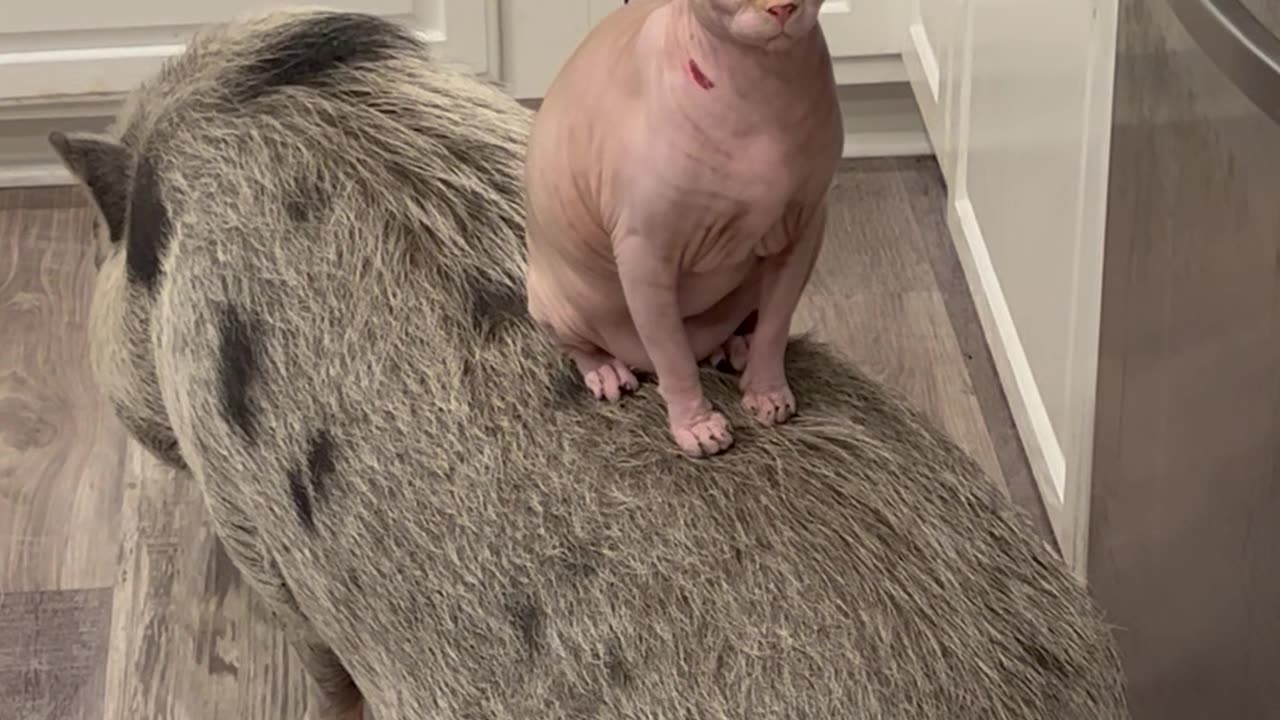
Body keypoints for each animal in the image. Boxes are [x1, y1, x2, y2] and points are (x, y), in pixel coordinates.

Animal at [524, 1, 844, 453]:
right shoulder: (645, 252)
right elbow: (673, 356)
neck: (761, 88)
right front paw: (697, 425)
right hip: (552, 299)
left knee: (750, 320)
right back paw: (606, 370)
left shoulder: (805, 228)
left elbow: (776, 325)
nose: (781, 8)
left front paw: (766, 391)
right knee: (581, 345)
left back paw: (736, 347)